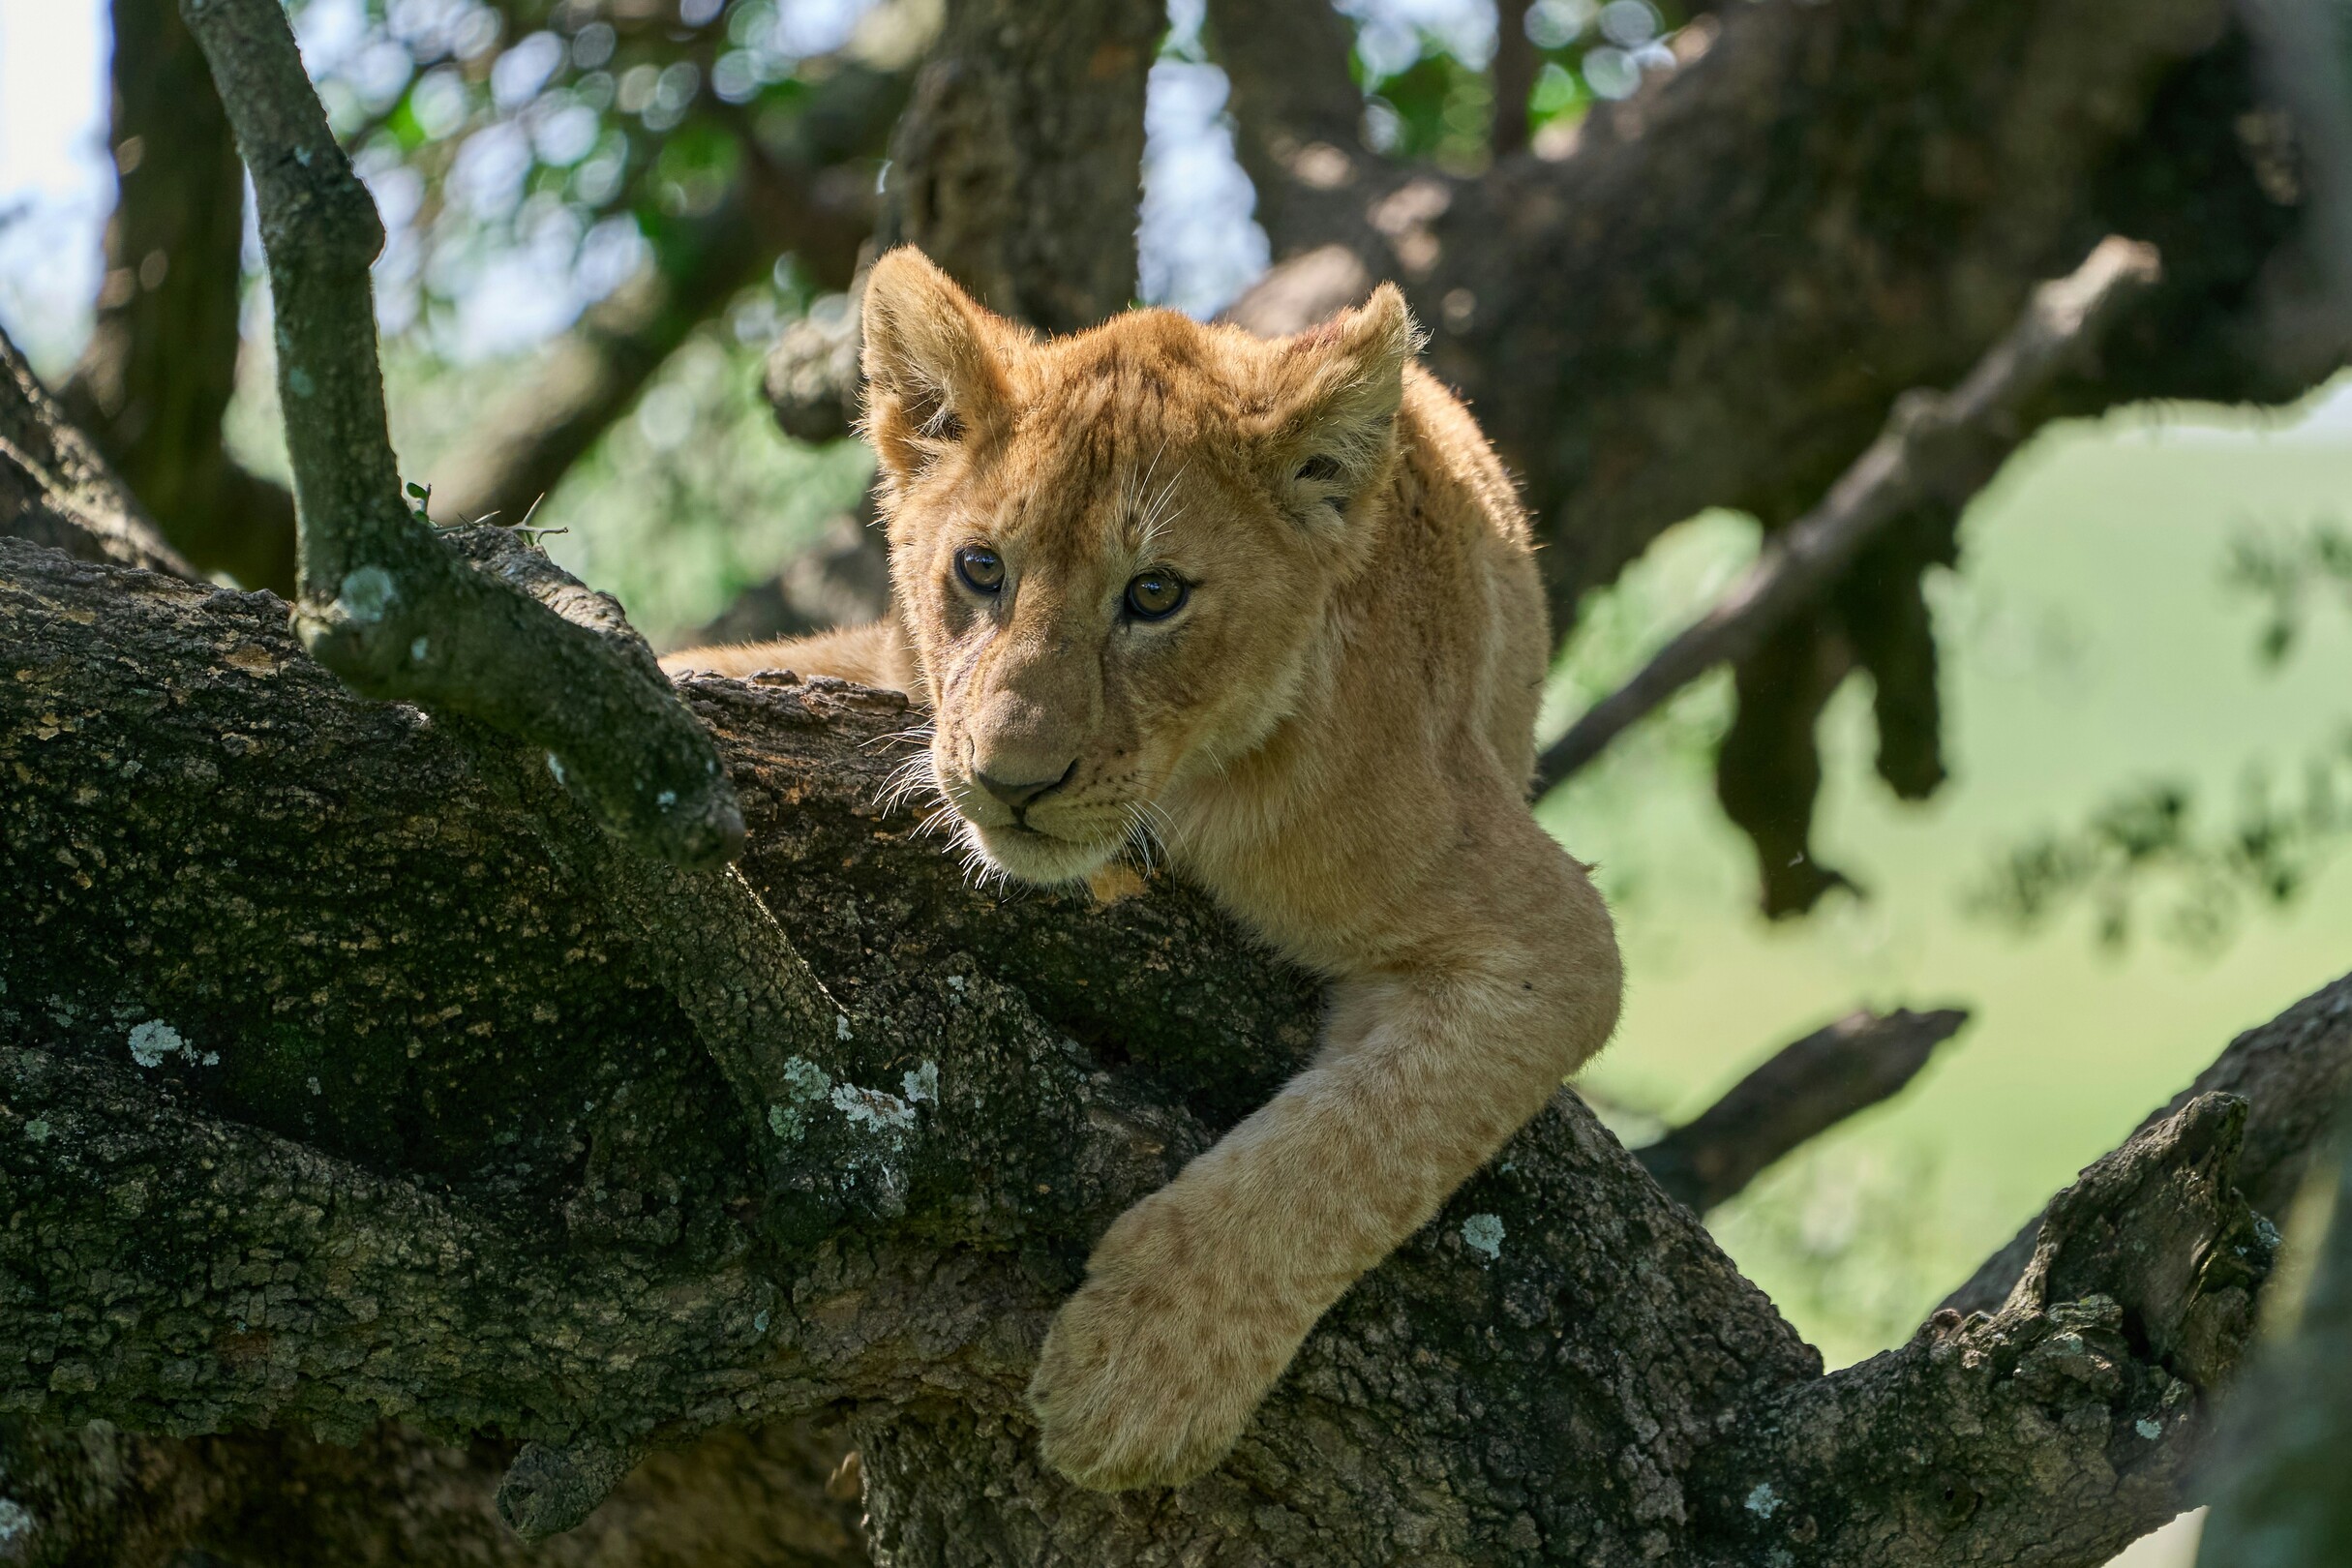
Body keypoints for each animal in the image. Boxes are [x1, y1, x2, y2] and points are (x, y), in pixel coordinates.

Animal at [664, 248, 1624, 1492]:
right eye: (981, 569)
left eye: (1156, 594)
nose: (1012, 778)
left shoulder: (1545, 938)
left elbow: (1351, 1146)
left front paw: (1140, 1375)